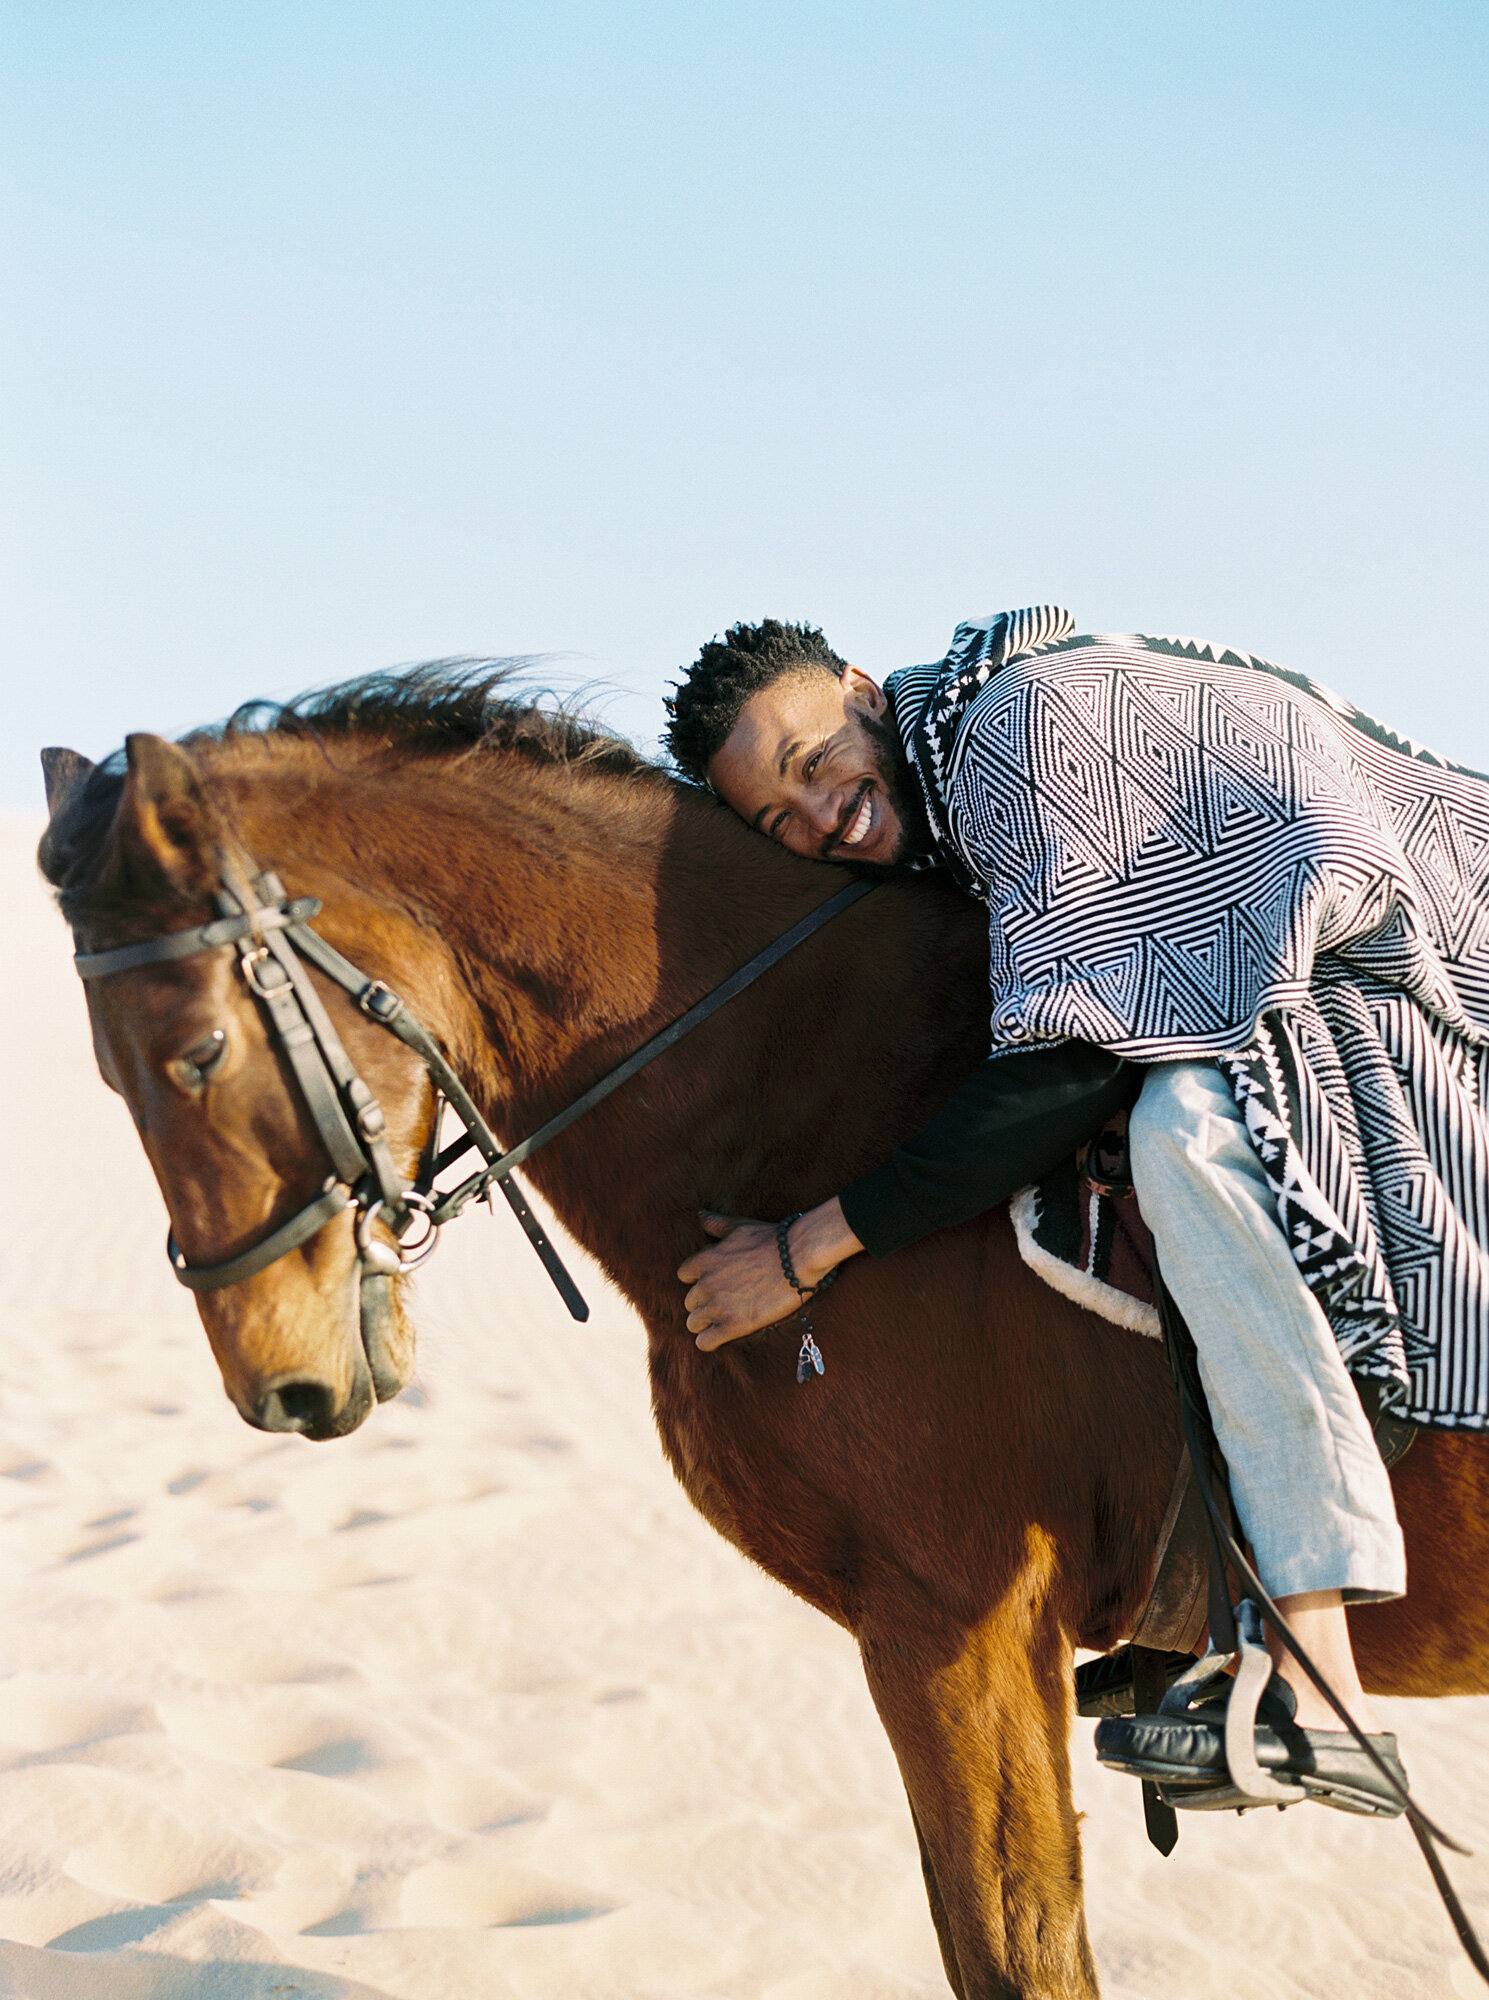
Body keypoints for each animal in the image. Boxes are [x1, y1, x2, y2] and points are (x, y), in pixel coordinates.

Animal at [40, 676, 1489, 2000]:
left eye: (197, 1052)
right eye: (110, 1072)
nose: (281, 1386)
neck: (812, 1107)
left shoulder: (957, 1624)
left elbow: (1017, 1950)